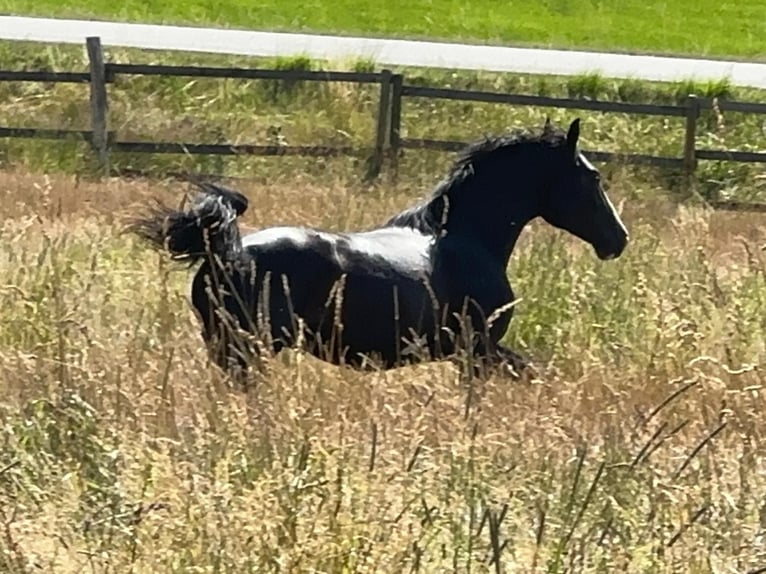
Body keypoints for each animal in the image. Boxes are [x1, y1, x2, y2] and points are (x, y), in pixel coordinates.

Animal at [126, 117, 632, 382]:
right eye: (592, 178)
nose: (619, 239)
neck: (465, 241)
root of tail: (221, 254)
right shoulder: (480, 349)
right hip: (247, 350)